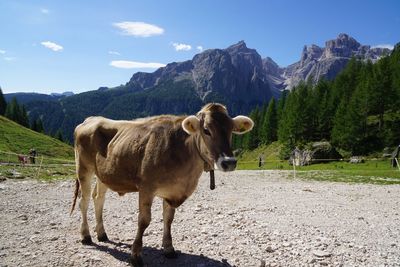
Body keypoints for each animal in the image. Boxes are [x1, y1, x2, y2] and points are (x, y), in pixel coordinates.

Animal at [70, 103, 253, 266]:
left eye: (231, 130)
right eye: (206, 130)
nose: (229, 162)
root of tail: (90, 119)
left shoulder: (172, 191)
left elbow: (168, 219)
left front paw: (169, 248)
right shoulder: (146, 188)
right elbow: (144, 221)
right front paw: (136, 255)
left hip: (103, 175)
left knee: (98, 199)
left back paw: (102, 234)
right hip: (84, 169)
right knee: (84, 202)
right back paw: (86, 236)